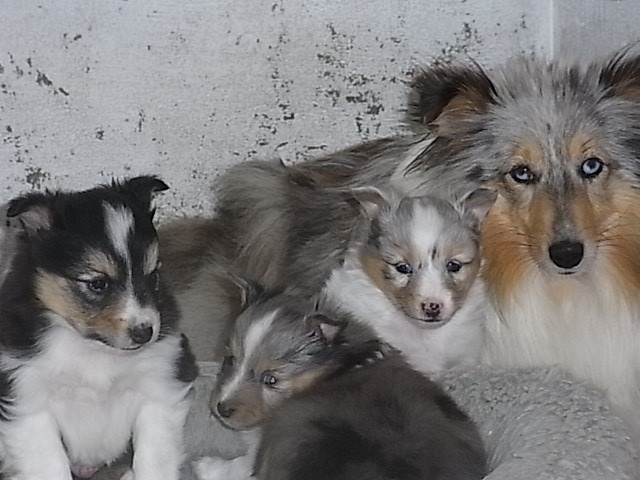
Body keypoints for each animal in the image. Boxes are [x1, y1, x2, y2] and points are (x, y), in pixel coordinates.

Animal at [0, 177, 198, 480]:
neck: (94, 348)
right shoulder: (28, 401)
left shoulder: (160, 387)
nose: (145, 333)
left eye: (153, 276)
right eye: (97, 284)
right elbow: (50, 465)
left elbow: (154, 460)